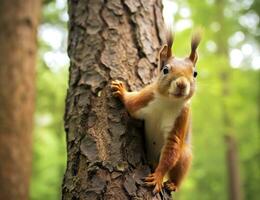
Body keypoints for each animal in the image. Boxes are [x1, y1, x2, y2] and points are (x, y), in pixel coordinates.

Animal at [110, 30, 200, 194]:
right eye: (165, 70)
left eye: (195, 73)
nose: (182, 84)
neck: (167, 101)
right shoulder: (145, 98)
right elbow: (131, 104)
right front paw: (122, 91)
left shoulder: (182, 117)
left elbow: (171, 150)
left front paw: (158, 177)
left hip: (184, 155)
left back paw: (172, 184)